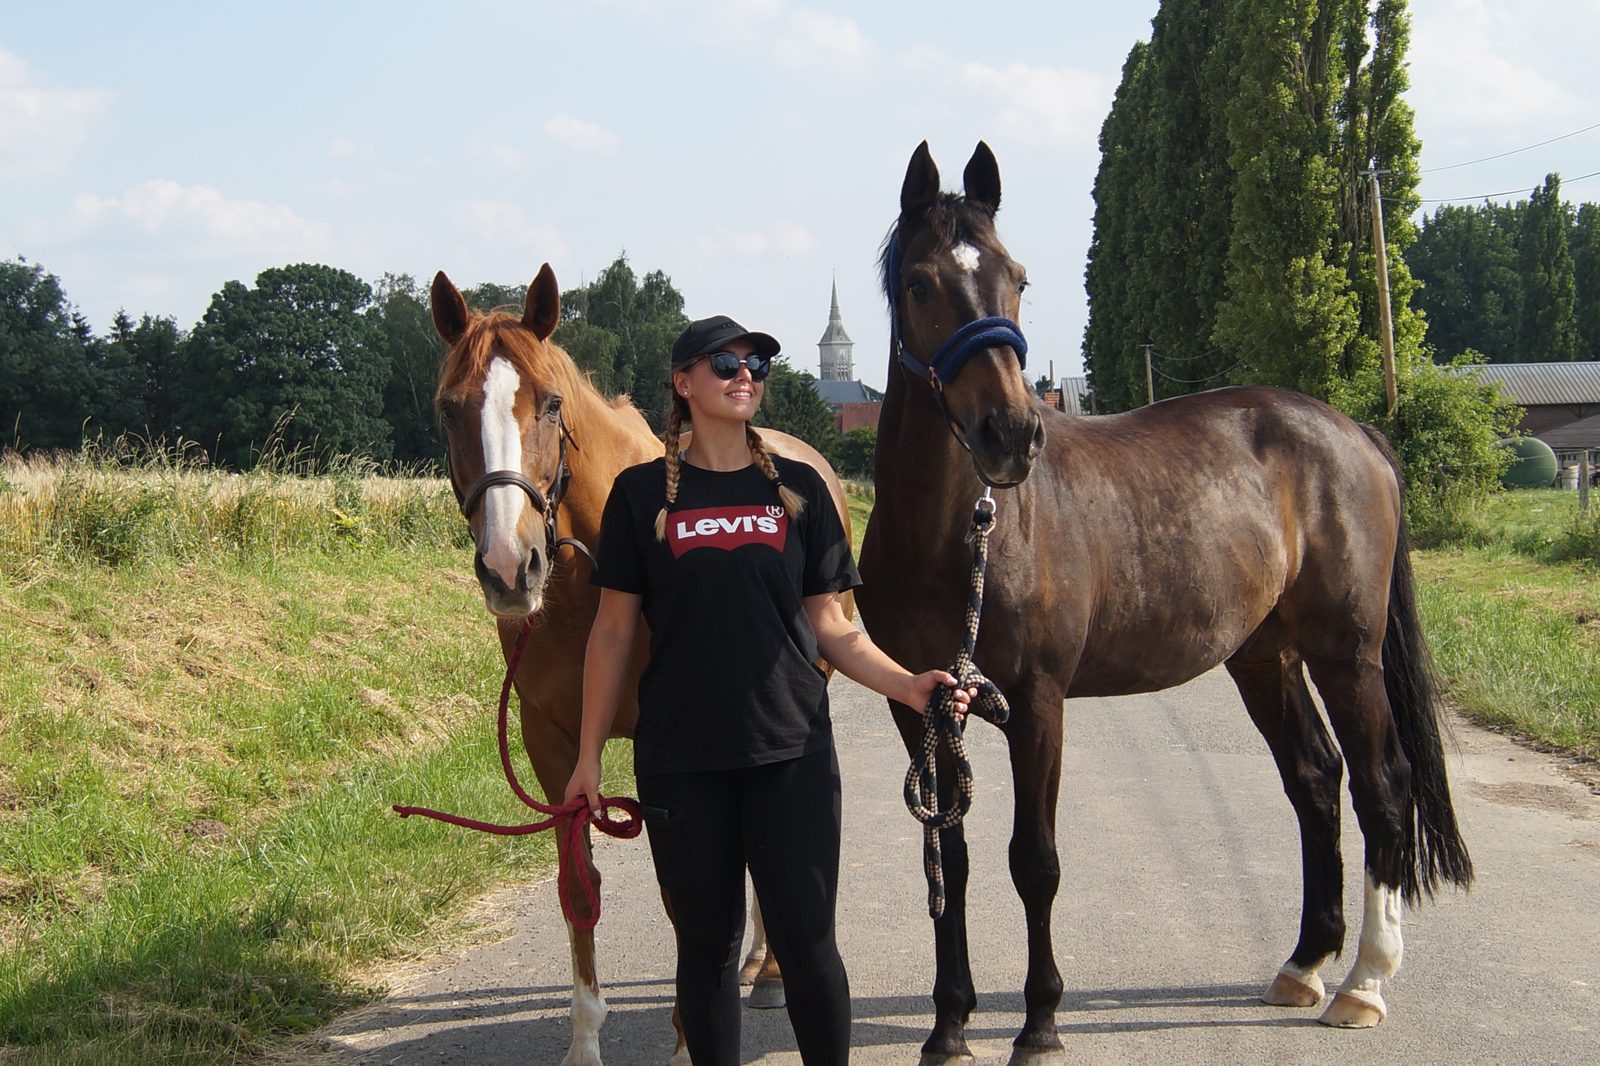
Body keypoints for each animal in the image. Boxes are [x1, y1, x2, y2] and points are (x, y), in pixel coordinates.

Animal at [855, 141, 1474, 1064]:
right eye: (922, 283)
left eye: (1017, 277)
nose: (1011, 434)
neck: (955, 538)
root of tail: (1354, 432)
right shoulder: (921, 702)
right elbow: (949, 858)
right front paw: (950, 1025)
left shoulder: (1037, 702)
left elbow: (1034, 860)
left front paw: (1039, 1023)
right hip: (1265, 656)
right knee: (1315, 778)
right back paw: (1304, 965)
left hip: (1346, 654)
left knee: (1382, 784)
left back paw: (1364, 982)